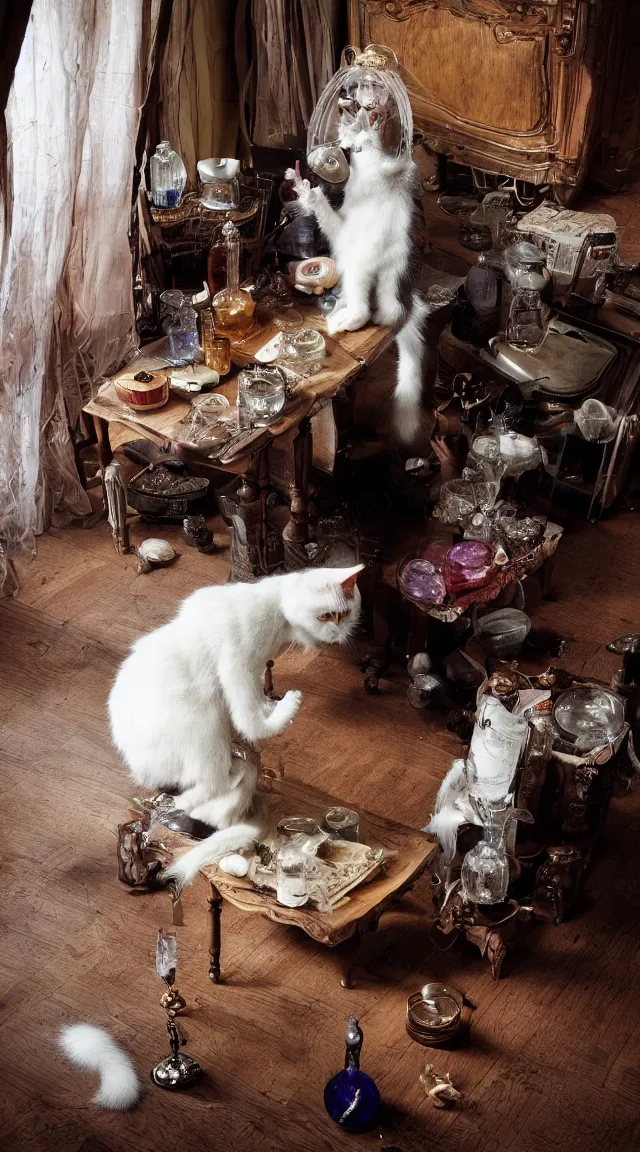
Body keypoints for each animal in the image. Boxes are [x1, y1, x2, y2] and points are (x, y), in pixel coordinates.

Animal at [108, 564, 361, 880]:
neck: (277, 615)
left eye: (347, 614)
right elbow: (252, 720)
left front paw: (270, 706)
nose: (339, 631)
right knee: (205, 789)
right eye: (327, 615)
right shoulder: (239, 664)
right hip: (204, 721)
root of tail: (141, 771)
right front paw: (284, 707)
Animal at [287, 104, 428, 444]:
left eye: (360, 149)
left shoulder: (347, 232)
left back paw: (343, 321)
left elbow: (327, 213)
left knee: (363, 310)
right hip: (386, 281)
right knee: (383, 312)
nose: (343, 151)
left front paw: (305, 186)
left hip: (357, 268)